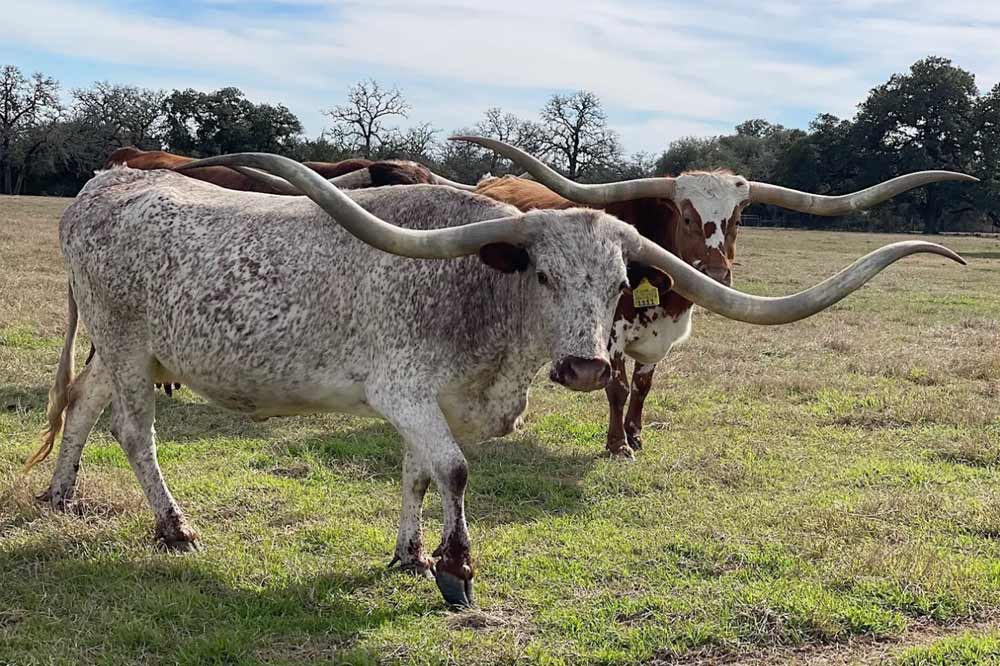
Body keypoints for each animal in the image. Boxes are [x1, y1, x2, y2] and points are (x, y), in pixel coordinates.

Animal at [458, 135, 980, 456]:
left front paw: (637, 436)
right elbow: (617, 387)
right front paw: (617, 445)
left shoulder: (662, 339)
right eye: (686, 216)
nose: (714, 272)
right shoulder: (609, 337)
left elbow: (643, 388)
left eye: (738, 218)